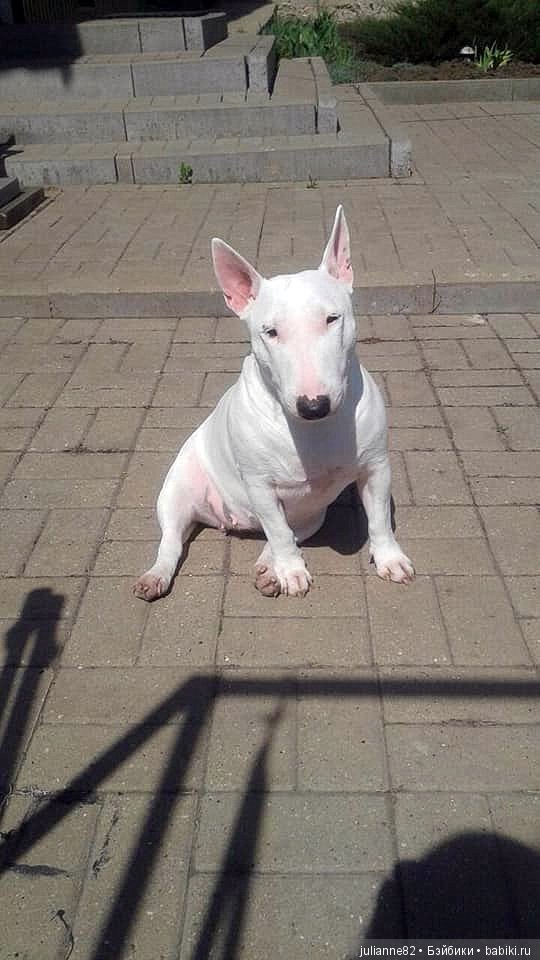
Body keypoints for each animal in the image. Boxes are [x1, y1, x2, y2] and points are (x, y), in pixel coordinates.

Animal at [134, 205, 414, 601]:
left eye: (332, 318)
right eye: (270, 331)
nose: (314, 406)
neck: (313, 432)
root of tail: (230, 520)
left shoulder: (377, 466)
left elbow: (378, 520)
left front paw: (390, 559)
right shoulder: (260, 485)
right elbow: (279, 532)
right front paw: (293, 573)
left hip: (312, 517)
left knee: (286, 532)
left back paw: (267, 570)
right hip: (176, 492)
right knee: (176, 539)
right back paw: (156, 576)